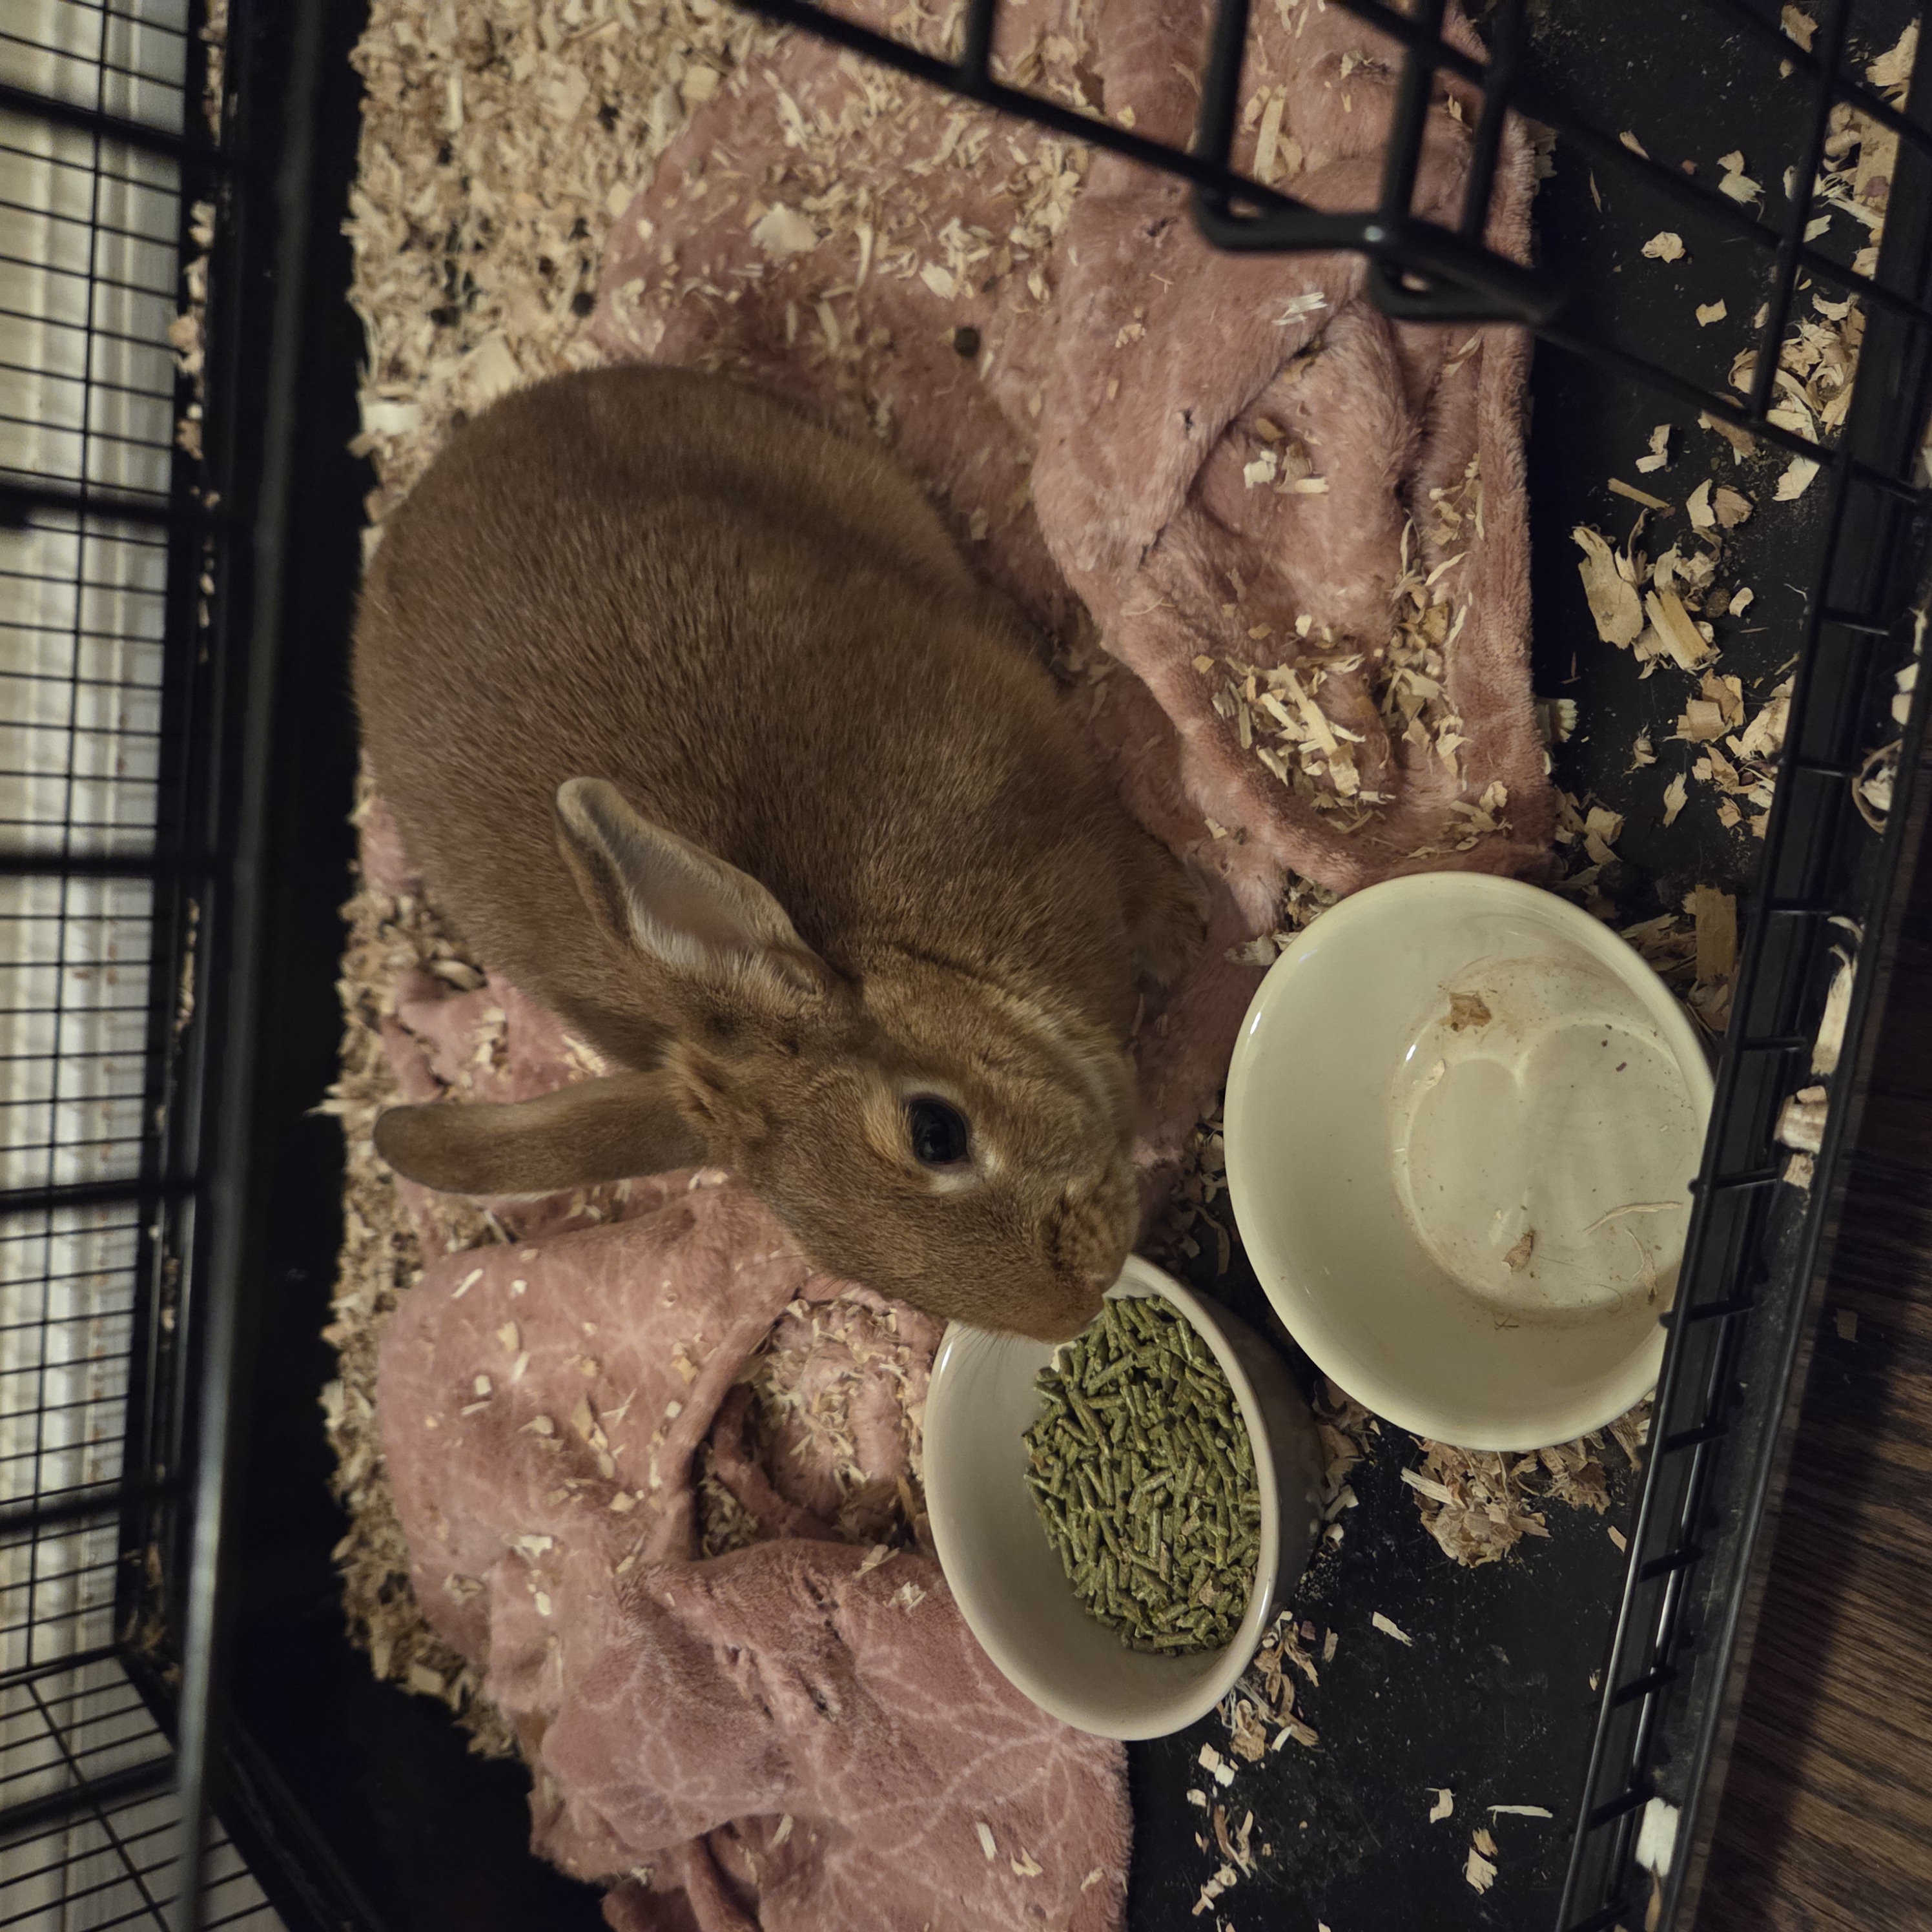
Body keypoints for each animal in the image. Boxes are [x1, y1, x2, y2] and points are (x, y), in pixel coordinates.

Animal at [353, 366, 1204, 1342]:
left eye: (936, 1133)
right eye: (841, 1265)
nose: (1075, 1304)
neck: (917, 951)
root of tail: (443, 473)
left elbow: (1127, 855)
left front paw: (1183, 931)